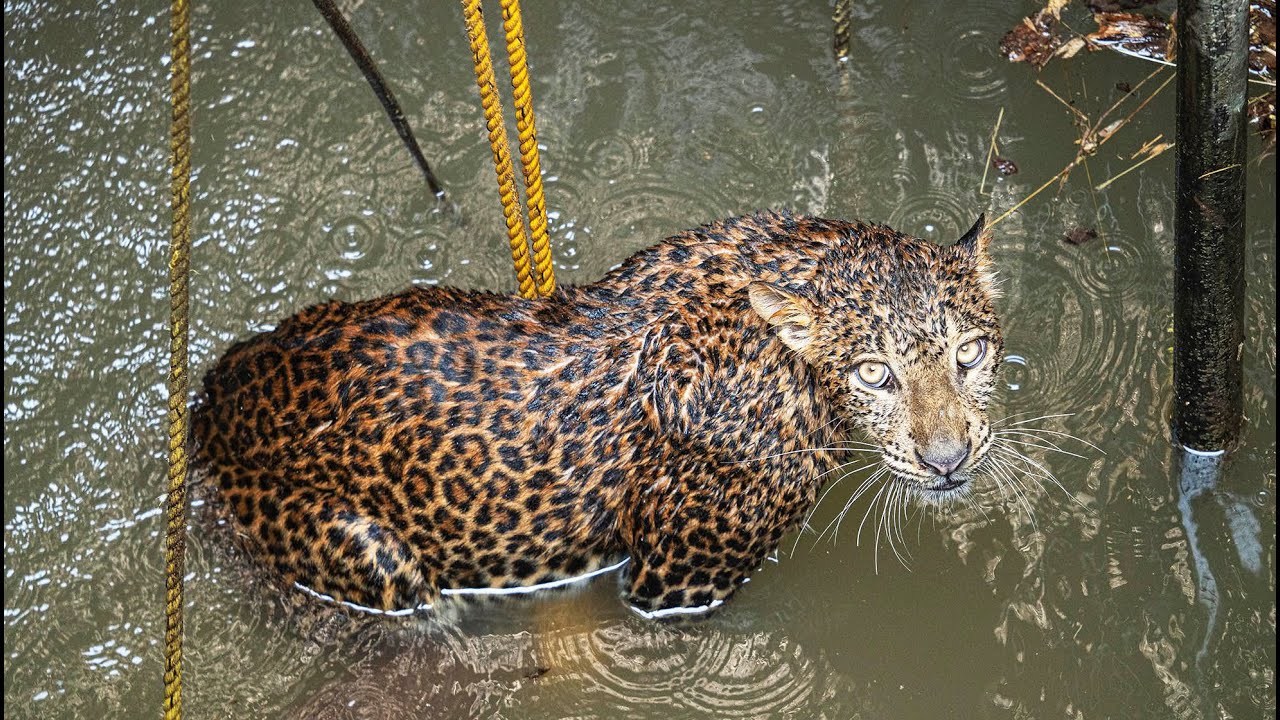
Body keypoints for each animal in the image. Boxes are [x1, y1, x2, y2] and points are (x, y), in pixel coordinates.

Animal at [192, 211, 1004, 617]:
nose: (947, 460)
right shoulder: (672, 584)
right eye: (874, 373)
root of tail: (218, 391)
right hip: (362, 548)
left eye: (970, 353)